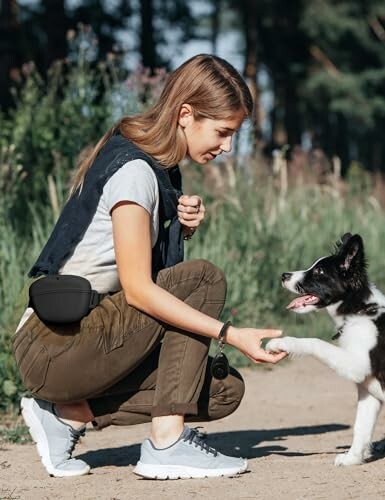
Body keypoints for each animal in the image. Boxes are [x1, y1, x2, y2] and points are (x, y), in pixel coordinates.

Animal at [266, 233, 384, 464]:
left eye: (319, 272)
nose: (284, 275)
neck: (360, 310)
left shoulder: (357, 365)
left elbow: (315, 342)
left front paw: (281, 343)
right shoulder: (367, 387)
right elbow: (361, 427)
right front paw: (352, 459)